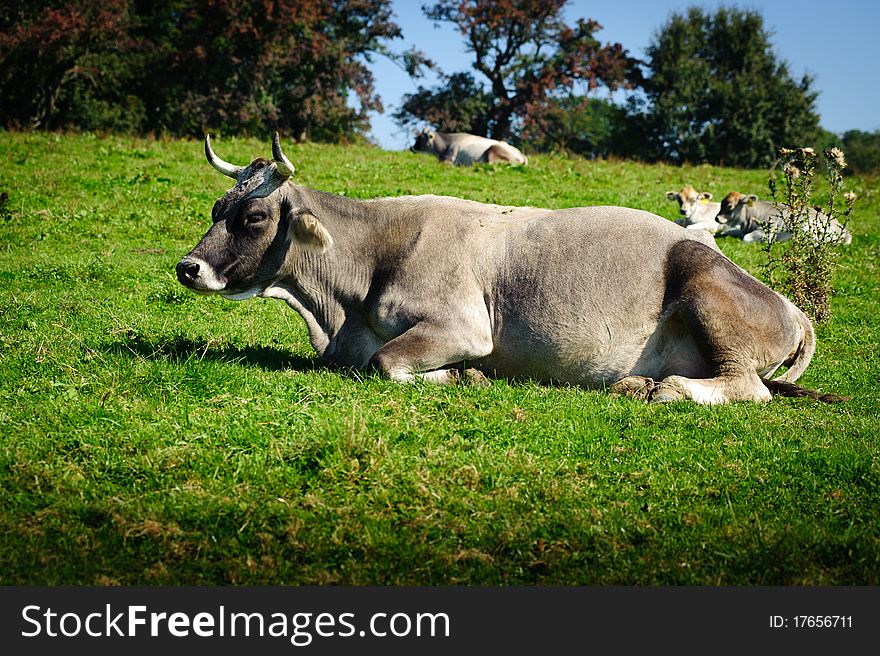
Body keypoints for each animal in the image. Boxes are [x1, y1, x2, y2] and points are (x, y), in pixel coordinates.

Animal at [175, 134, 844, 404]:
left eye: (255, 216)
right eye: (216, 209)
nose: (188, 268)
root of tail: (793, 307)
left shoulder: (464, 327)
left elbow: (386, 363)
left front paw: (463, 377)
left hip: (707, 294)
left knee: (748, 388)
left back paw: (667, 388)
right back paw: (636, 384)